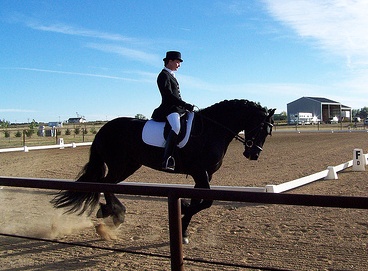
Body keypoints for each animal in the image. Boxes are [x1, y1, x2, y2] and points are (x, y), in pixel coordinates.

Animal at [53, 99, 274, 243]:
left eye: (269, 132)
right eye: (261, 128)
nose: (253, 154)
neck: (213, 130)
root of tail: (104, 129)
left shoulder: (204, 175)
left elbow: (199, 202)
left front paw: (183, 227)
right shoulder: (199, 171)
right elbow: (206, 202)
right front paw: (183, 212)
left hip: (128, 166)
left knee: (107, 184)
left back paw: (110, 212)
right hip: (119, 165)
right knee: (106, 184)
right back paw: (116, 215)